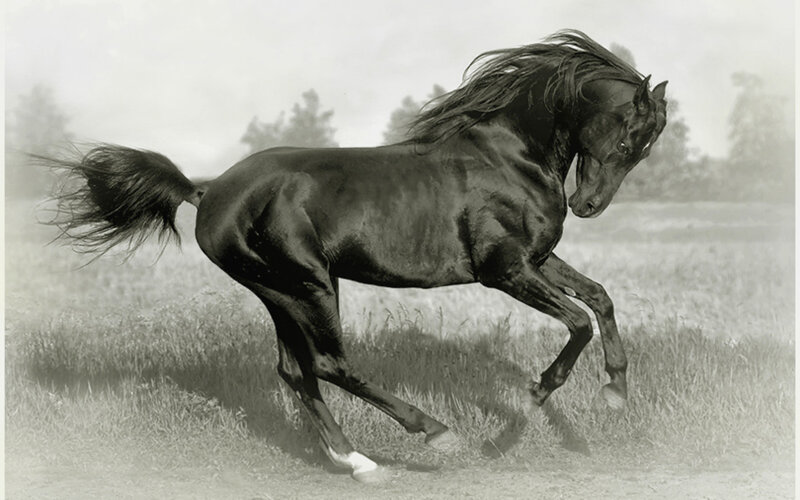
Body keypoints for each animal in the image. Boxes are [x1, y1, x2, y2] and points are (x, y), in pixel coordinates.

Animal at [44, 30, 667, 482]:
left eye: (645, 146)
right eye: (627, 136)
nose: (588, 206)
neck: (509, 158)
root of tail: (209, 191)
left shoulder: (537, 259)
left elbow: (600, 299)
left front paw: (615, 391)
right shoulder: (503, 270)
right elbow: (578, 322)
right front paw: (528, 404)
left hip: (282, 292)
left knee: (295, 371)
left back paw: (357, 462)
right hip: (308, 284)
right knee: (327, 364)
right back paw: (434, 433)